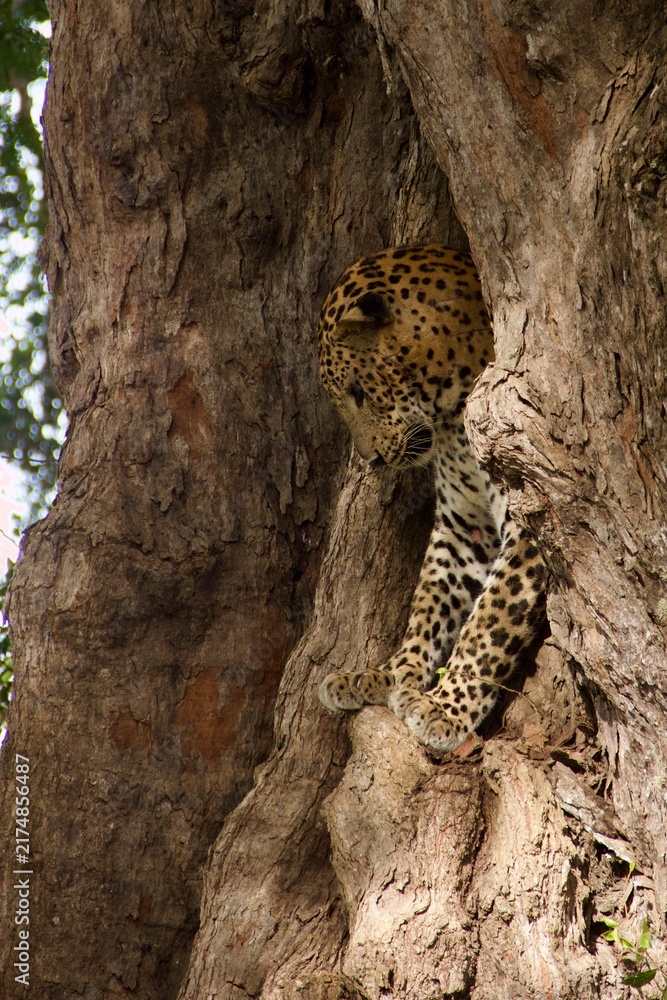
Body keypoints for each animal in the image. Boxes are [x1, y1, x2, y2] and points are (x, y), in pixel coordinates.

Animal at [317, 244, 546, 753]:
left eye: (358, 391)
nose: (371, 460)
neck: (451, 417)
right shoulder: (465, 527)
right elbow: (429, 604)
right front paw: (389, 674)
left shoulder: (528, 530)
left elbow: (487, 624)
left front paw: (445, 707)